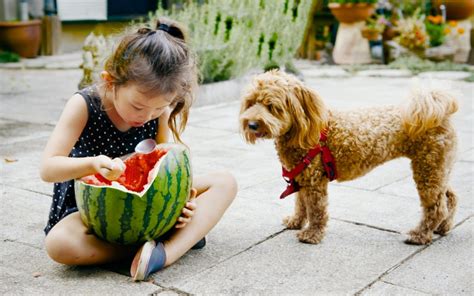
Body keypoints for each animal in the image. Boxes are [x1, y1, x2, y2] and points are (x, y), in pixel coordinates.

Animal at [241, 70, 460, 245]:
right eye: (251, 103)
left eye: (272, 106)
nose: (251, 124)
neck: (303, 131)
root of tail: (440, 114)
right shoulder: (301, 178)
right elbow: (301, 204)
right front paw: (296, 222)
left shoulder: (314, 181)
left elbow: (316, 210)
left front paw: (312, 234)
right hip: (437, 167)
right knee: (449, 196)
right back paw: (442, 227)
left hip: (427, 167)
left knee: (436, 207)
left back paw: (419, 235)